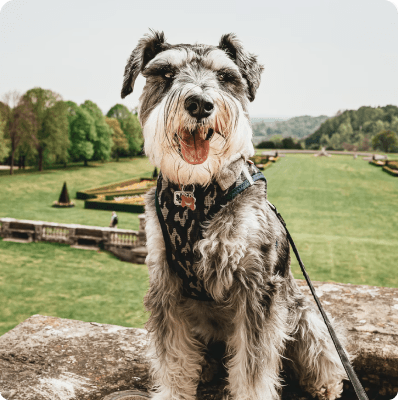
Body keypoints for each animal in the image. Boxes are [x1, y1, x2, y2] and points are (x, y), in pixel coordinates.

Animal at [121, 31, 348, 400]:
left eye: (226, 77)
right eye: (165, 73)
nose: (200, 104)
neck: (197, 190)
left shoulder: (256, 286)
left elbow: (253, 367)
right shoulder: (165, 283)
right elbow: (173, 357)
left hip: (301, 313)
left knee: (323, 349)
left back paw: (325, 384)